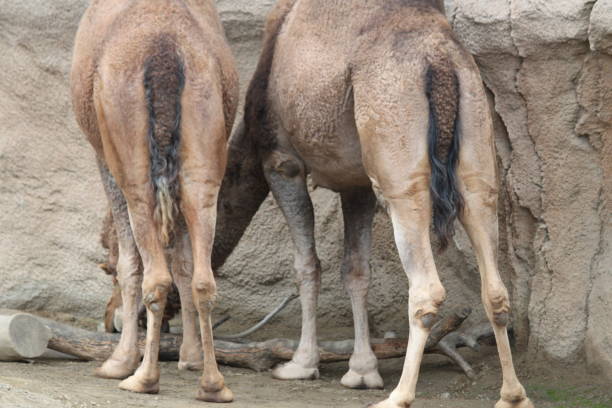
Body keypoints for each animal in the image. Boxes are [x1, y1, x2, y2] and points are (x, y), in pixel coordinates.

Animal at [69, 0, 237, 402]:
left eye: (105, 269)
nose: (107, 321)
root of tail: (164, 53)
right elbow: (184, 263)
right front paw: (190, 356)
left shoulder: (105, 161)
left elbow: (130, 262)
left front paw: (118, 361)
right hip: (202, 152)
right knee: (203, 277)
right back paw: (213, 385)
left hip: (132, 161)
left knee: (155, 274)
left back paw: (142, 377)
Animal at [224, 0, 532, 406]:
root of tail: (440, 62)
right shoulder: (357, 185)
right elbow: (356, 270)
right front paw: (362, 371)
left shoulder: (281, 161)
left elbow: (307, 265)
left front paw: (301, 365)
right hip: (476, 145)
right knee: (494, 284)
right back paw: (512, 394)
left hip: (399, 166)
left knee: (426, 287)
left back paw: (399, 395)